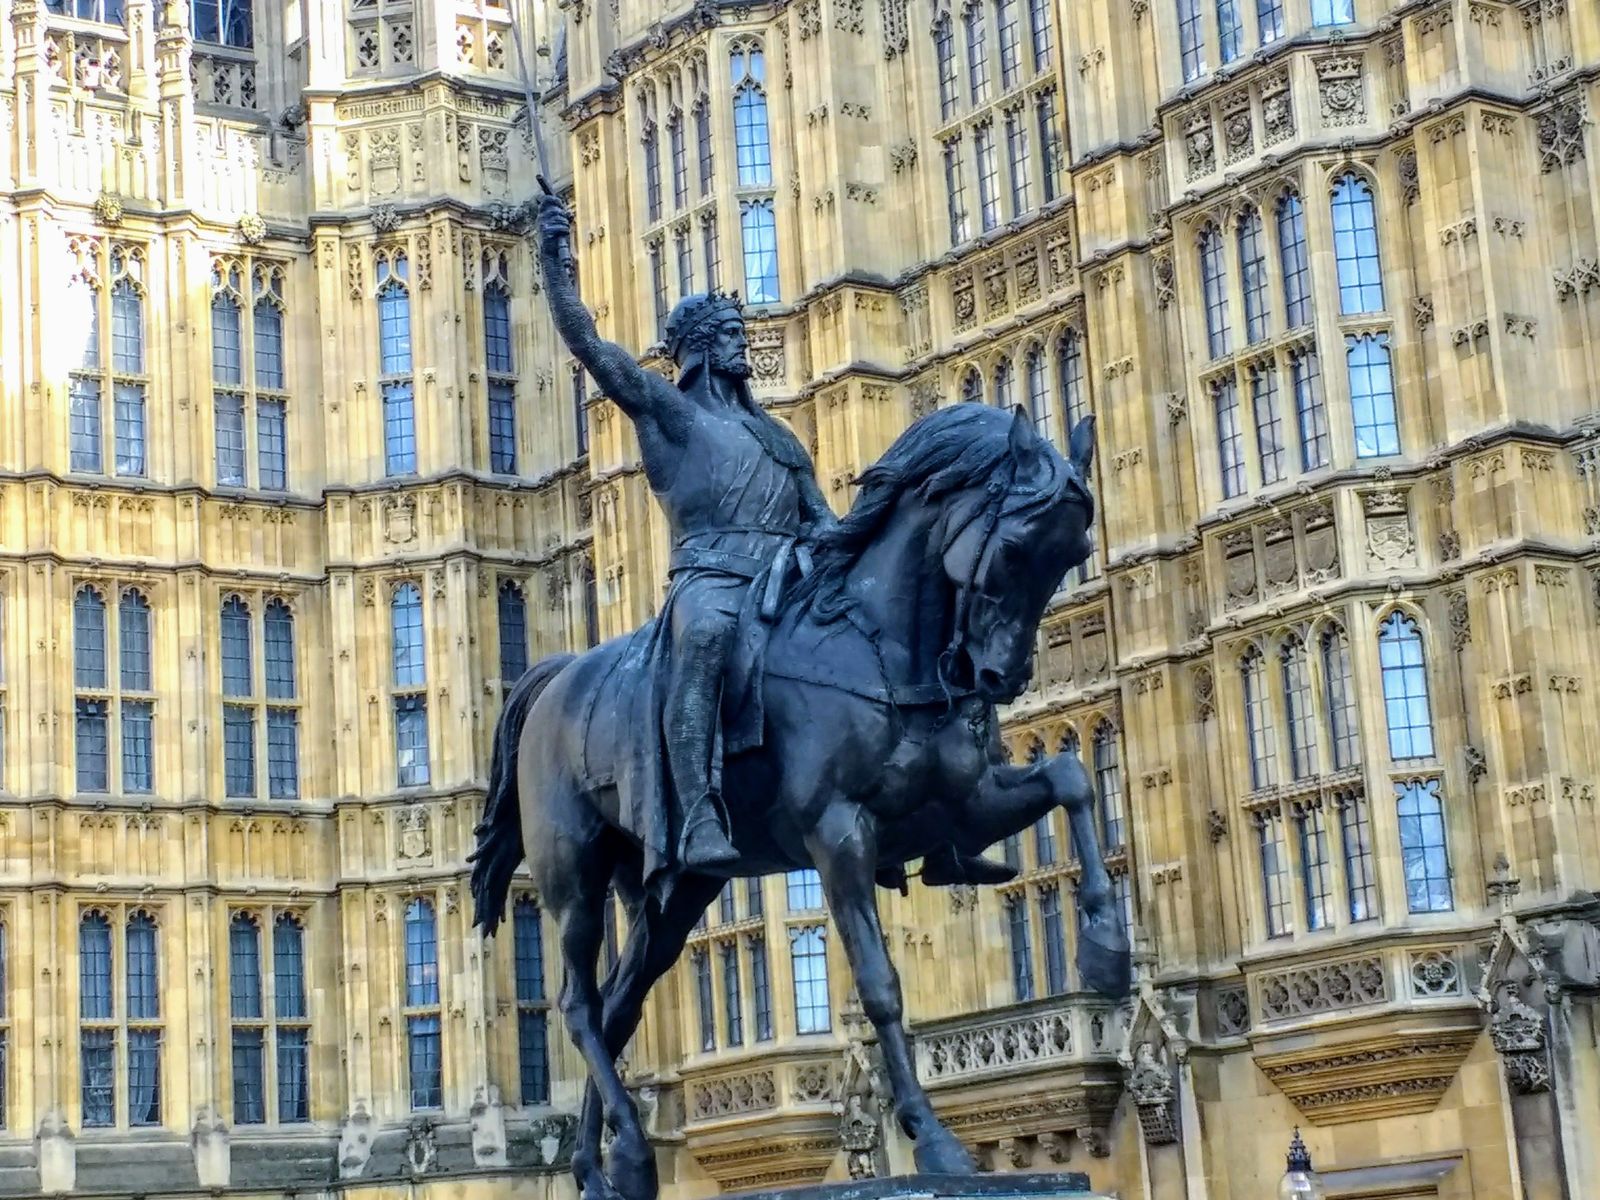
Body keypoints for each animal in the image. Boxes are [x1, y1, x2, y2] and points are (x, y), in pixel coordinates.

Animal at [467, 404, 1132, 1200]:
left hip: (673, 891)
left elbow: (1072, 779)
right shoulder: (838, 831)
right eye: (1011, 548)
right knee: (577, 1004)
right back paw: (626, 1148)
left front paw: (1108, 949)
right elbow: (880, 984)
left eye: (1076, 551)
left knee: (618, 1005)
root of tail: (559, 674)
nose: (998, 677)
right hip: (575, 876)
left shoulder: (961, 804)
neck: (882, 647)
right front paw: (935, 1139)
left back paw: (602, 1168)